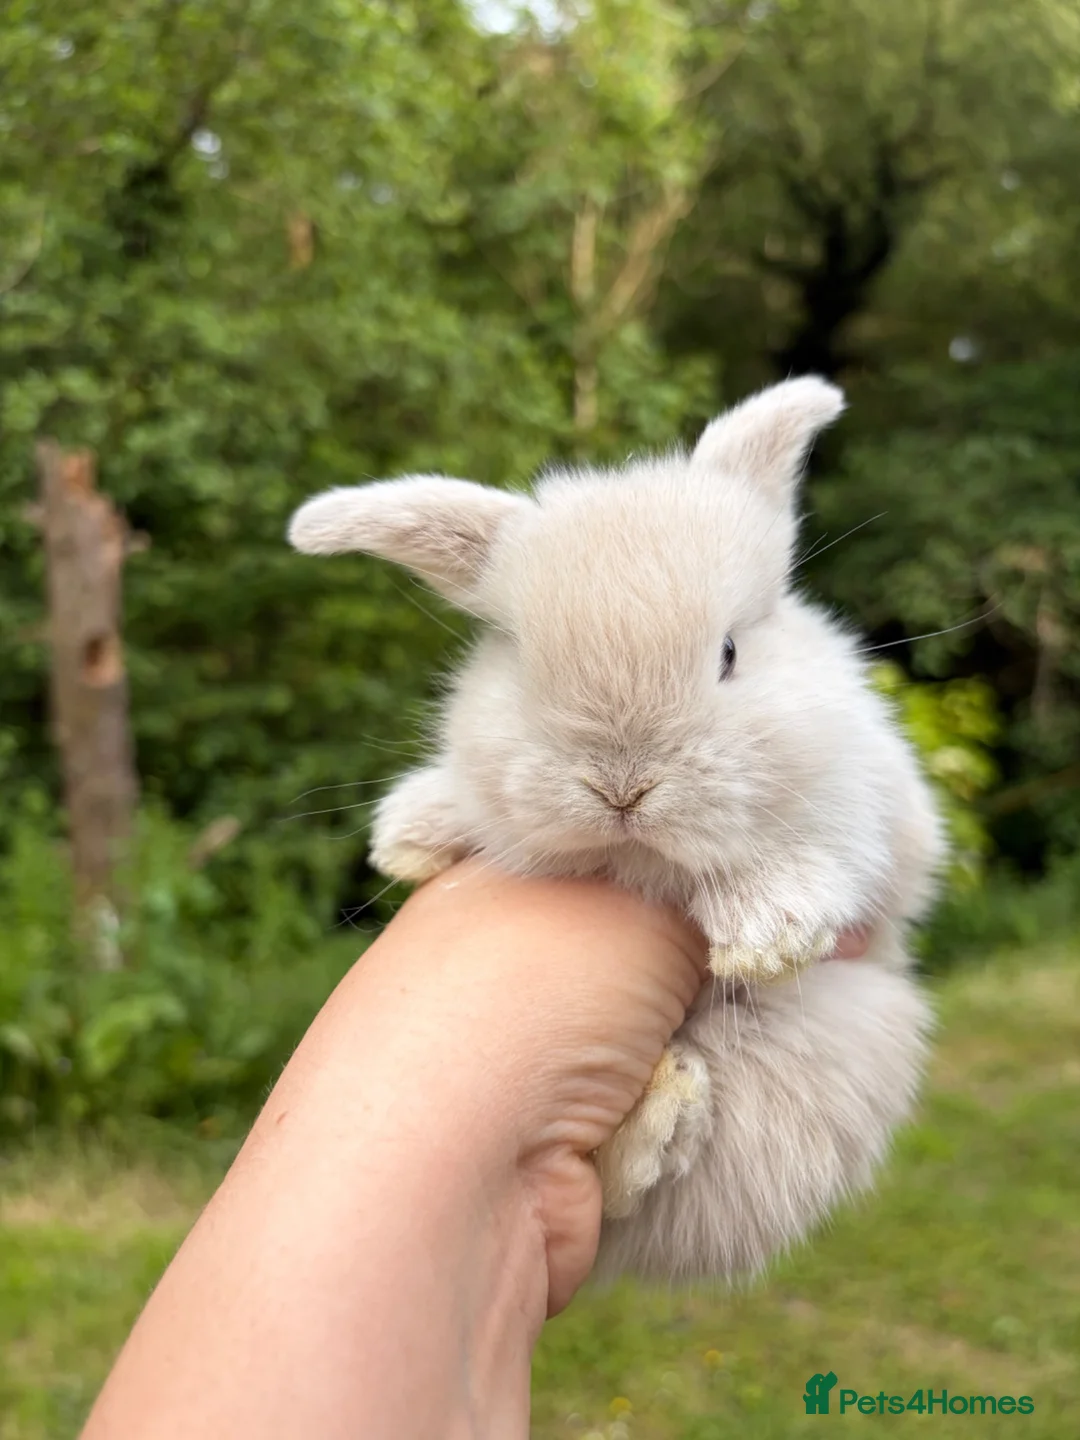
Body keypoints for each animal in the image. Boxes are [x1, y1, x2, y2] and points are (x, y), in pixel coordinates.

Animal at [287, 377, 945, 1282]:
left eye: (729, 653)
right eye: (521, 662)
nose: (622, 787)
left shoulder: (880, 803)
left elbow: (827, 843)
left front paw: (764, 932)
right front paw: (410, 835)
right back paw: (664, 1104)